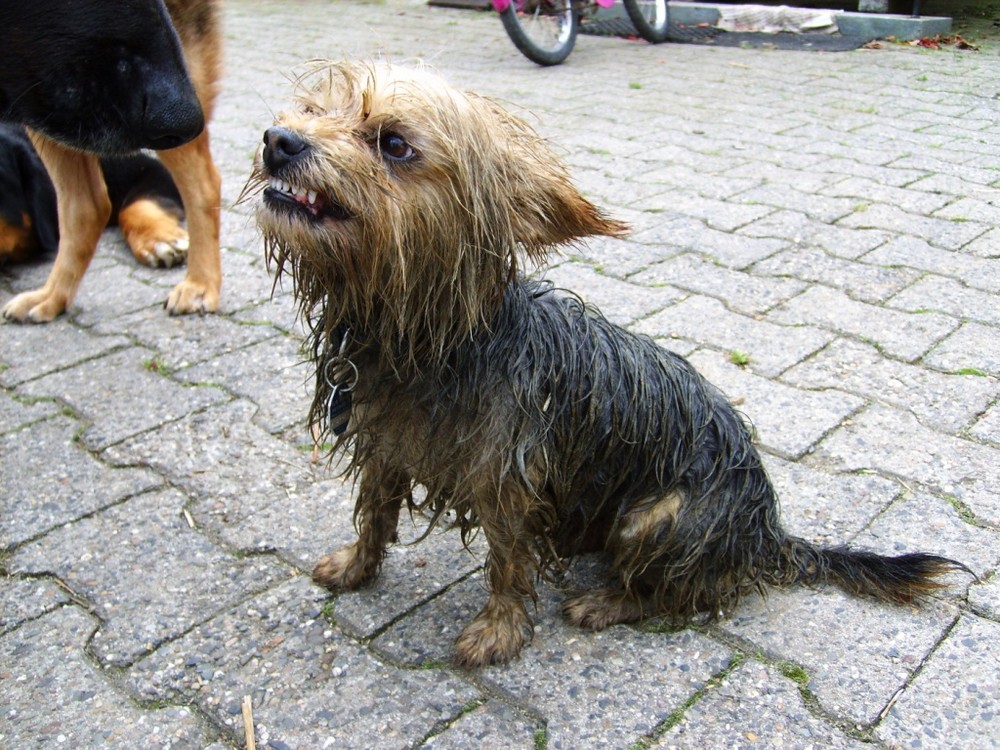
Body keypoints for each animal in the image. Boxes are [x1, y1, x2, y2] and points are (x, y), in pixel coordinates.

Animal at [250, 61, 968, 668]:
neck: (425, 340)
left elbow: (508, 562)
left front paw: (498, 632)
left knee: (684, 593)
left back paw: (606, 600)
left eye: (394, 143)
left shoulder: (509, 481)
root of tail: (768, 535)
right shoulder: (383, 446)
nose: (278, 139)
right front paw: (356, 567)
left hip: (657, 517)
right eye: (314, 108)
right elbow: (373, 512)